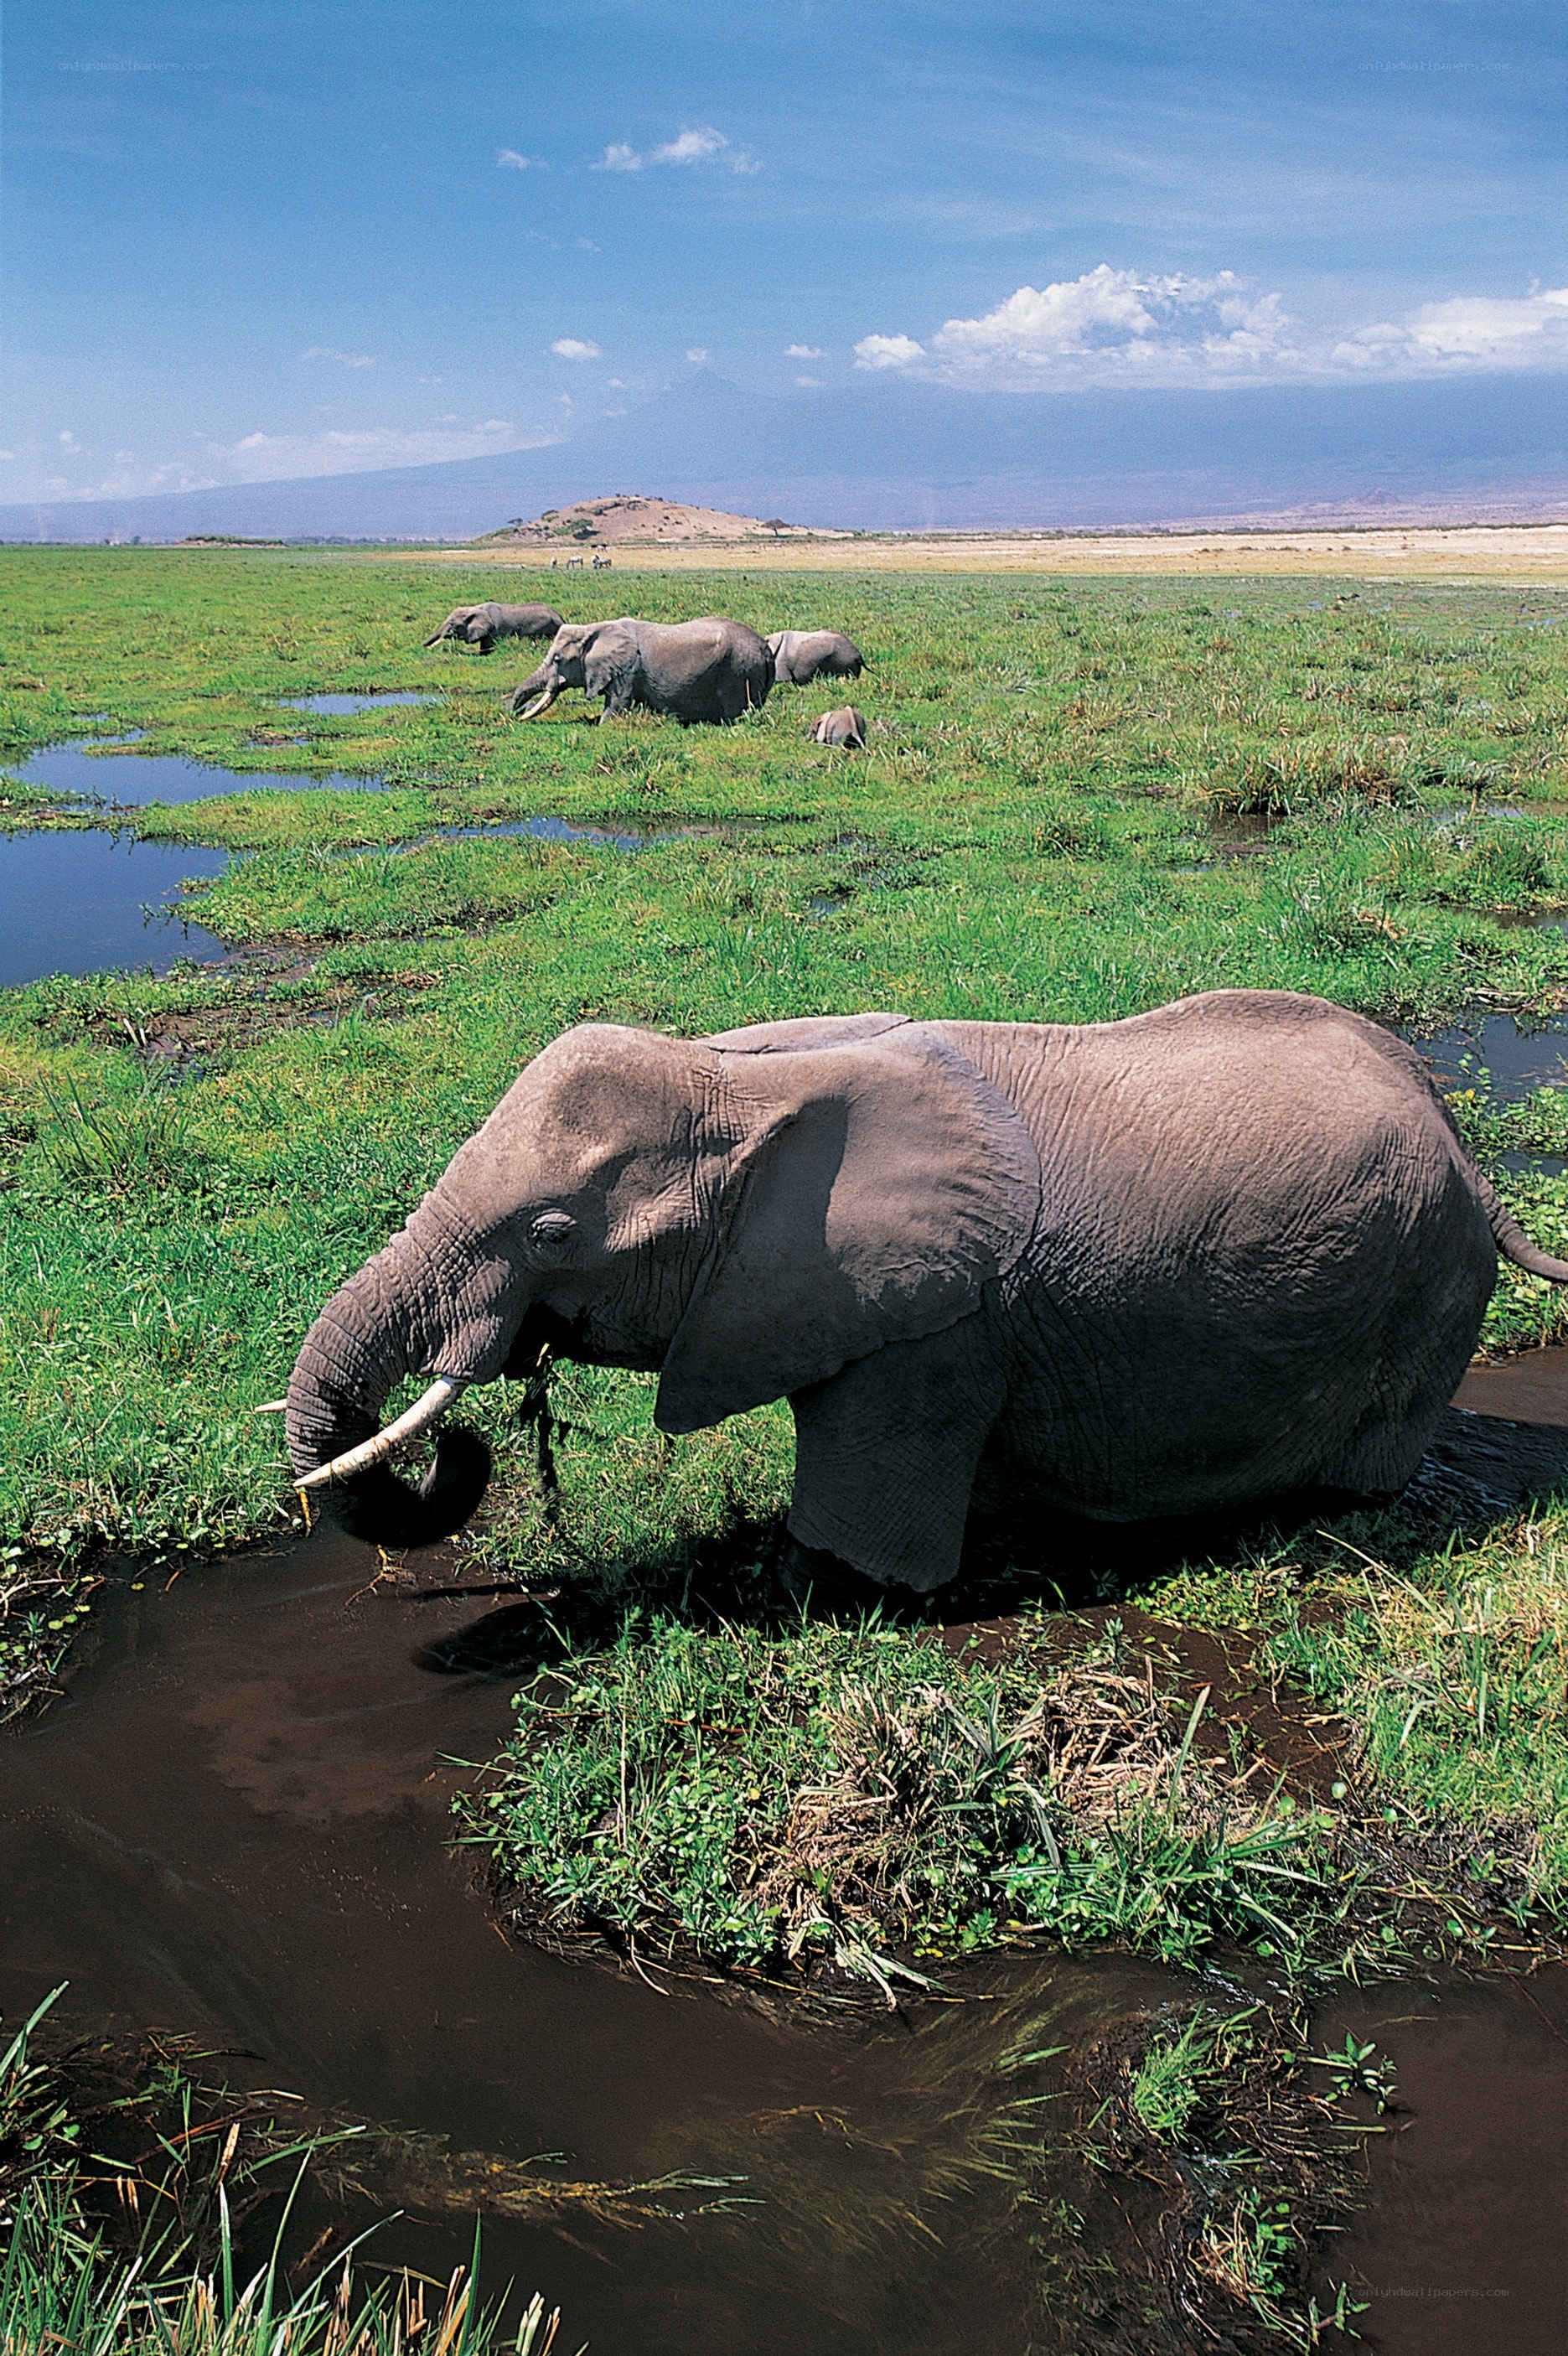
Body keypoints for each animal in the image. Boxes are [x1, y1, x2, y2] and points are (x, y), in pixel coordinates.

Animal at [282, 990, 1568, 1594]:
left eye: (553, 1234)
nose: (458, 1451)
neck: (742, 1080)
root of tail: (1458, 1138)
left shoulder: (939, 1326)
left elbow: (846, 1558)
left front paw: (809, 1579)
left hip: (1427, 1291)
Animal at [424, 602, 564, 655]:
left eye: (452, 624)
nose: (424, 648)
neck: (476, 608)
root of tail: (560, 617)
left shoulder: (496, 628)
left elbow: (489, 645)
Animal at [510, 616, 773, 725]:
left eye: (557, 659)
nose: (515, 713)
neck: (594, 629)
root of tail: (766, 648)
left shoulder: (627, 669)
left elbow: (618, 703)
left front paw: (602, 726)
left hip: (739, 670)